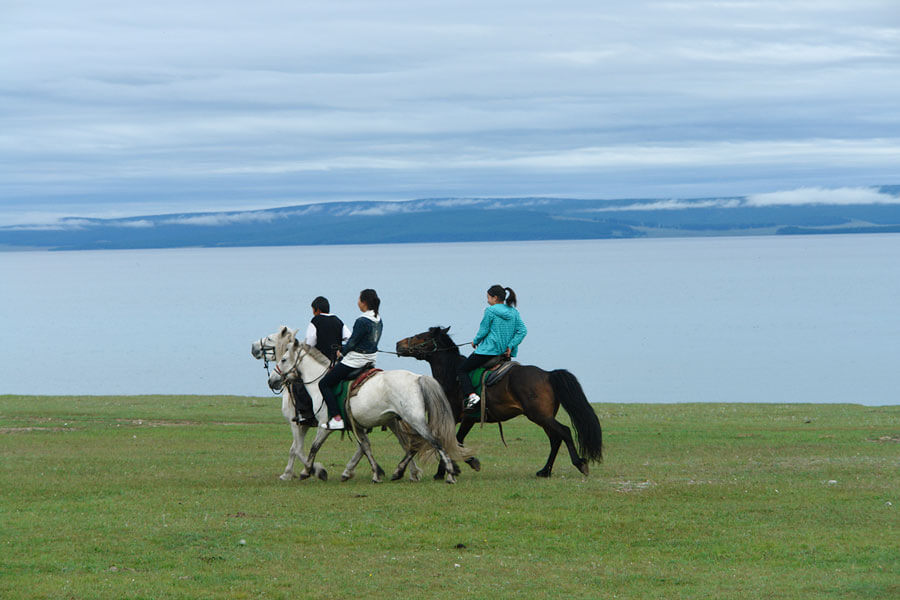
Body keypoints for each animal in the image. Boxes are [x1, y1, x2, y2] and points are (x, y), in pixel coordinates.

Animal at [268, 336, 472, 486]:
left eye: (284, 359)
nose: (272, 381)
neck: (319, 383)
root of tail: (417, 378)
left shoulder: (324, 425)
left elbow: (311, 447)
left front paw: (309, 471)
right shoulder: (358, 426)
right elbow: (365, 447)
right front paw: (375, 473)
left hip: (414, 420)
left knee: (433, 441)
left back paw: (449, 475)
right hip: (395, 420)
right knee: (411, 444)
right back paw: (402, 472)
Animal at [396, 326, 600, 476]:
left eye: (420, 337)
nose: (398, 344)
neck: (453, 374)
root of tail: (548, 375)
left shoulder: (460, 417)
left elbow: (453, 441)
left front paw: (452, 468)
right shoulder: (466, 419)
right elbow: (454, 441)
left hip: (540, 416)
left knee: (564, 432)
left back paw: (579, 464)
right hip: (544, 418)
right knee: (555, 439)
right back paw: (545, 471)